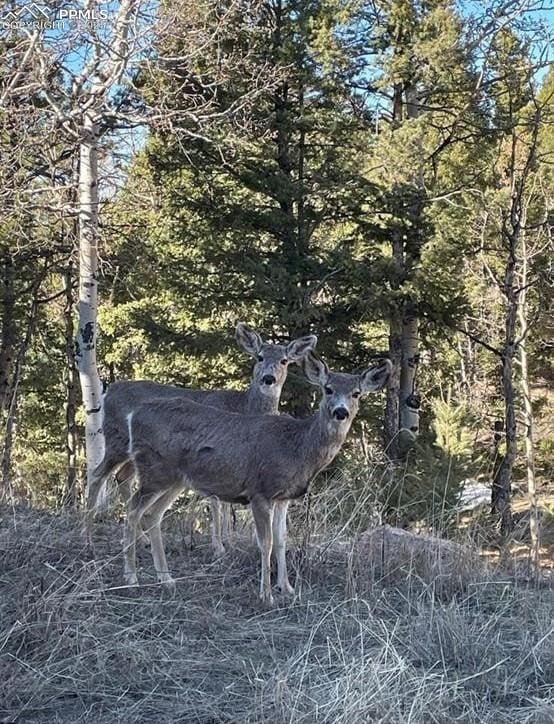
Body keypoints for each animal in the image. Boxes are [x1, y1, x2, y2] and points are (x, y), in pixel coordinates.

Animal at [82, 322, 314, 556]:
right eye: (259, 357)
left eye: (284, 360)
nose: (268, 378)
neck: (243, 406)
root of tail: (108, 391)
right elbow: (215, 500)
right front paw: (218, 546)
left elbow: (226, 502)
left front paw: (228, 541)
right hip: (116, 440)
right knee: (97, 474)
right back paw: (88, 539)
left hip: (137, 454)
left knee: (122, 477)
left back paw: (142, 540)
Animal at [100, 354, 392, 604]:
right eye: (328, 389)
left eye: (356, 393)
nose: (341, 412)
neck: (297, 448)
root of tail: (134, 414)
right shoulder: (259, 490)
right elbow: (266, 542)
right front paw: (266, 594)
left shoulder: (283, 497)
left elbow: (283, 540)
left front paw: (287, 588)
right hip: (153, 469)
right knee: (132, 509)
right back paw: (132, 577)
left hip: (175, 479)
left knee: (152, 514)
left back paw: (167, 579)